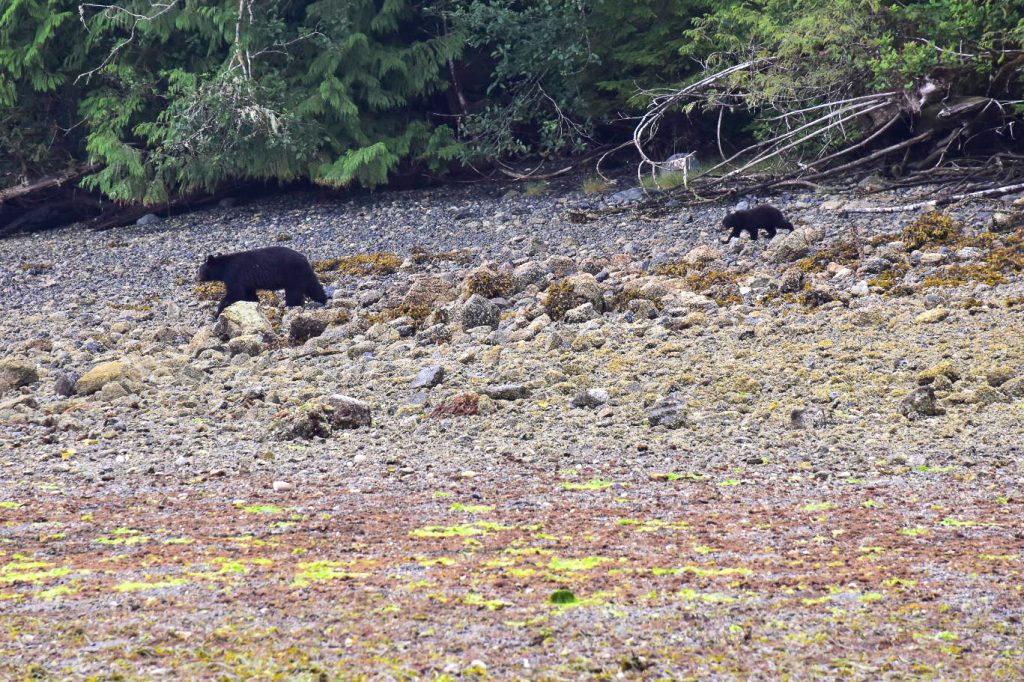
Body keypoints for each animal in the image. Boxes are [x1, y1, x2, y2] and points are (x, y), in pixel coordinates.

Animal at [197, 246, 328, 317]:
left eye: (200, 270)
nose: (197, 278)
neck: (224, 267)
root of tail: (305, 259)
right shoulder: (247, 281)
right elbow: (249, 294)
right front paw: (254, 304)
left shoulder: (234, 275)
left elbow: (235, 293)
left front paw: (217, 313)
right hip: (303, 276)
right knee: (314, 287)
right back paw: (324, 300)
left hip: (292, 275)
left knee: (293, 294)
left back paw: (290, 306)